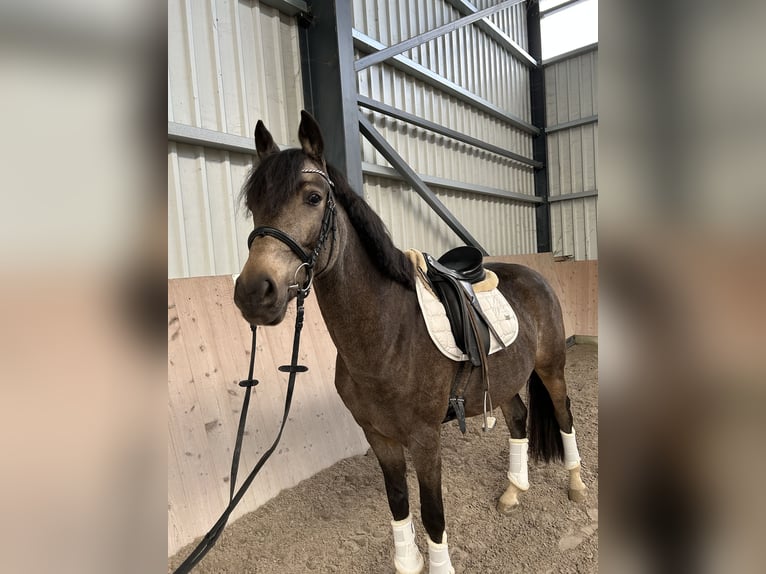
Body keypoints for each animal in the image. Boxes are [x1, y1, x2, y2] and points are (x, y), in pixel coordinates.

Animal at [234, 111, 587, 574]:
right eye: (253, 204)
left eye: (313, 197)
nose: (254, 293)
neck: (387, 338)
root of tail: (536, 274)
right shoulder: (378, 437)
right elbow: (399, 502)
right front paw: (407, 561)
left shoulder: (425, 439)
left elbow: (433, 513)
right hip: (504, 378)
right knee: (518, 418)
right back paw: (513, 490)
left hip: (551, 368)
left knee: (564, 416)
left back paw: (577, 484)